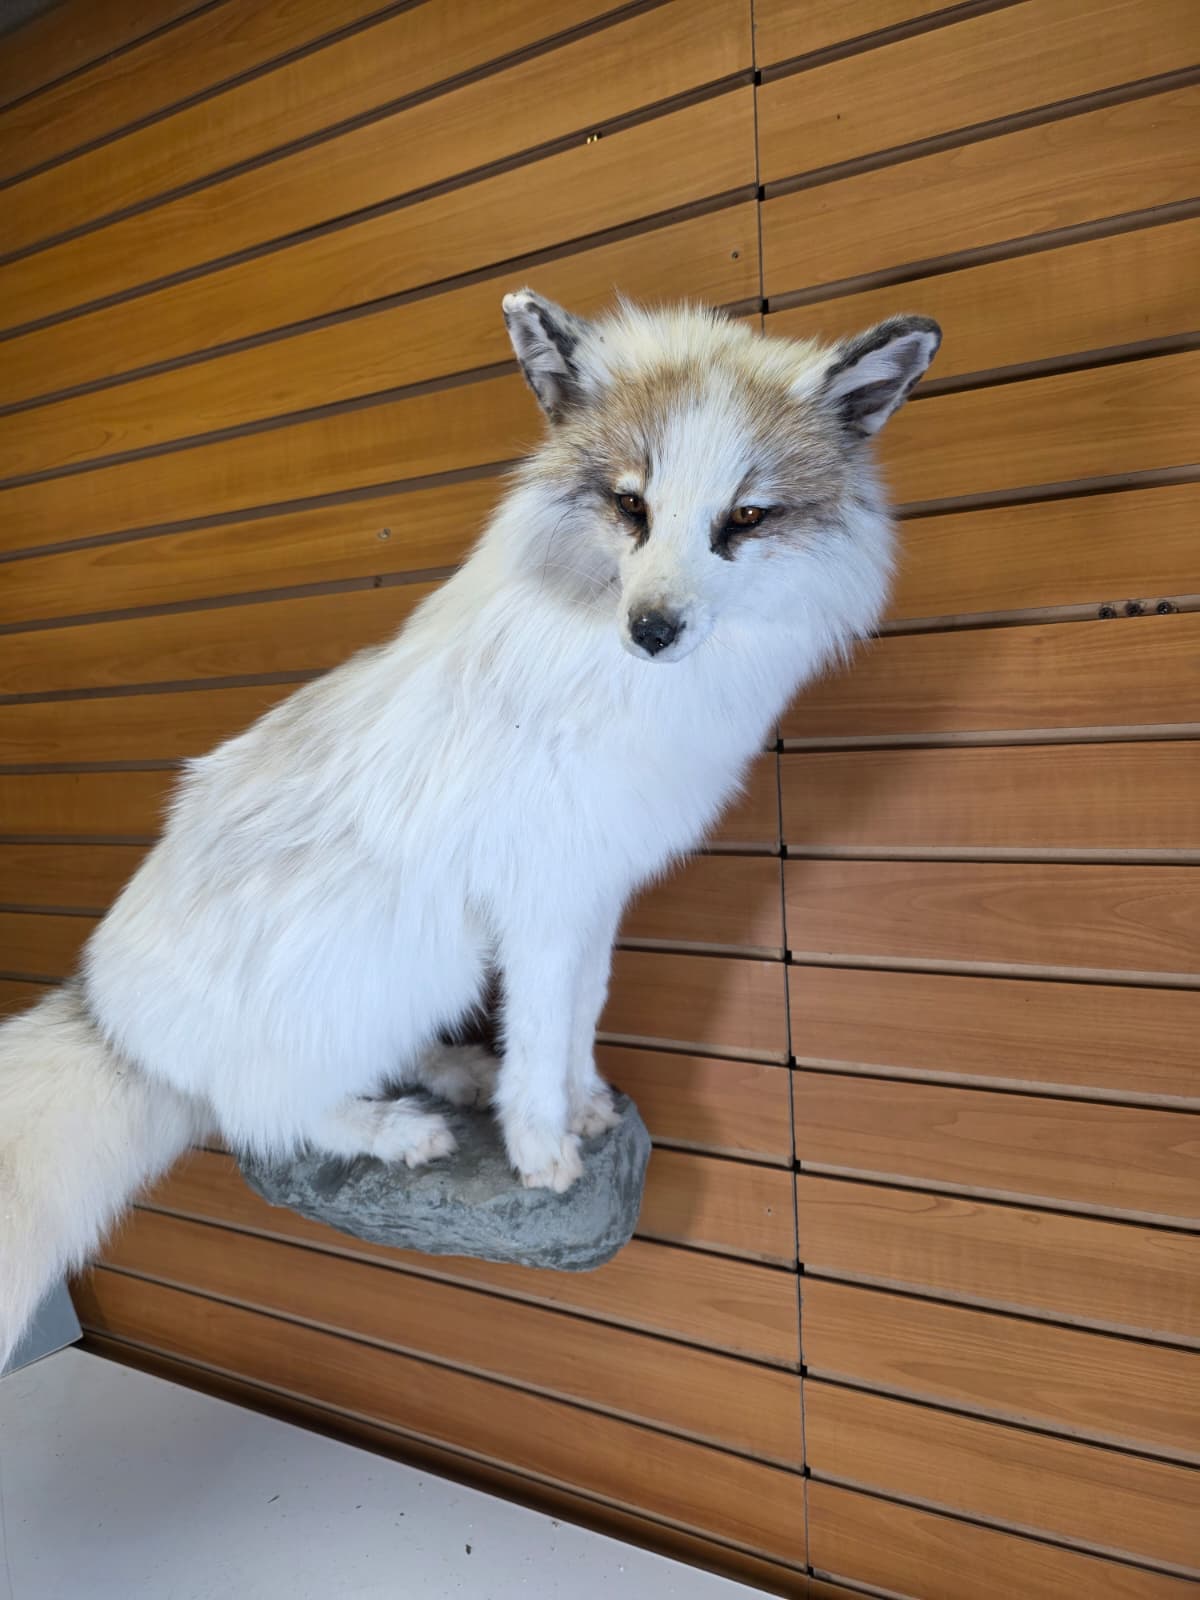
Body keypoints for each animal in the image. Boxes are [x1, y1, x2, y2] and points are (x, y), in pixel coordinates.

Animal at [0, 291, 939, 1369]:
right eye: (631, 506)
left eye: (745, 517)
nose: (652, 629)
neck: (630, 689)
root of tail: (108, 1015)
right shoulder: (539, 904)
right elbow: (536, 1035)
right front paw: (541, 1148)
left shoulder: (592, 896)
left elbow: (578, 1017)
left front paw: (582, 1107)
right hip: (395, 972)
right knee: (264, 1114)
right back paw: (396, 1130)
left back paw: (451, 1073)